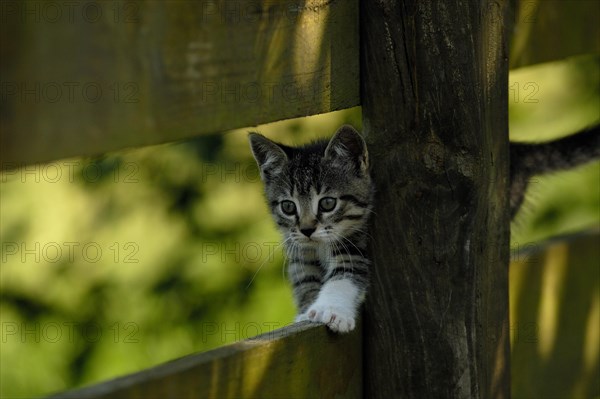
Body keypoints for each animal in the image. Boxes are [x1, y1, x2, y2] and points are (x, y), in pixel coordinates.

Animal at [247, 126, 370, 332]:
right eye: (288, 207)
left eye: (327, 203)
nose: (306, 230)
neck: (320, 245)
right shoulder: (298, 249)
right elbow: (305, 279)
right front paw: (306, 313)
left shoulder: (358, 241)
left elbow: (345, 273)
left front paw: (331, 310)